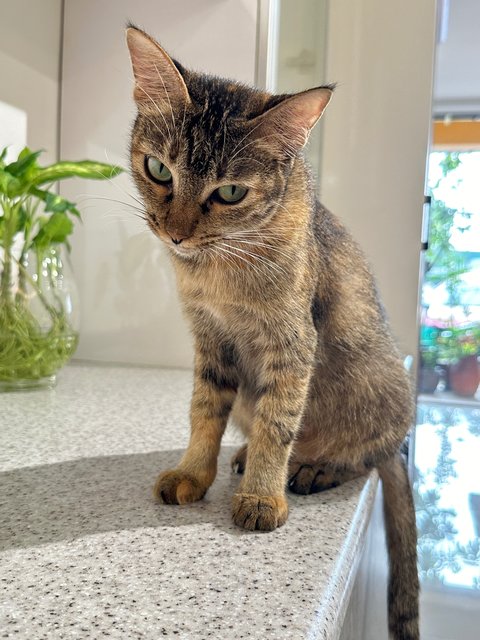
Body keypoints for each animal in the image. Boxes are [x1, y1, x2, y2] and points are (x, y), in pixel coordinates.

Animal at [125, 26, 418, 640]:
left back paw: (311, 465)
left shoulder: (292, 344)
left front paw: (263, 493)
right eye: (159, 169)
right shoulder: (210, 340)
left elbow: (278, 425)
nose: (176, 234)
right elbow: (203, 413)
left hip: (378, 403)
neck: (218, 271)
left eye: (231, 192)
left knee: (364, 454)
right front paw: (196, 471)